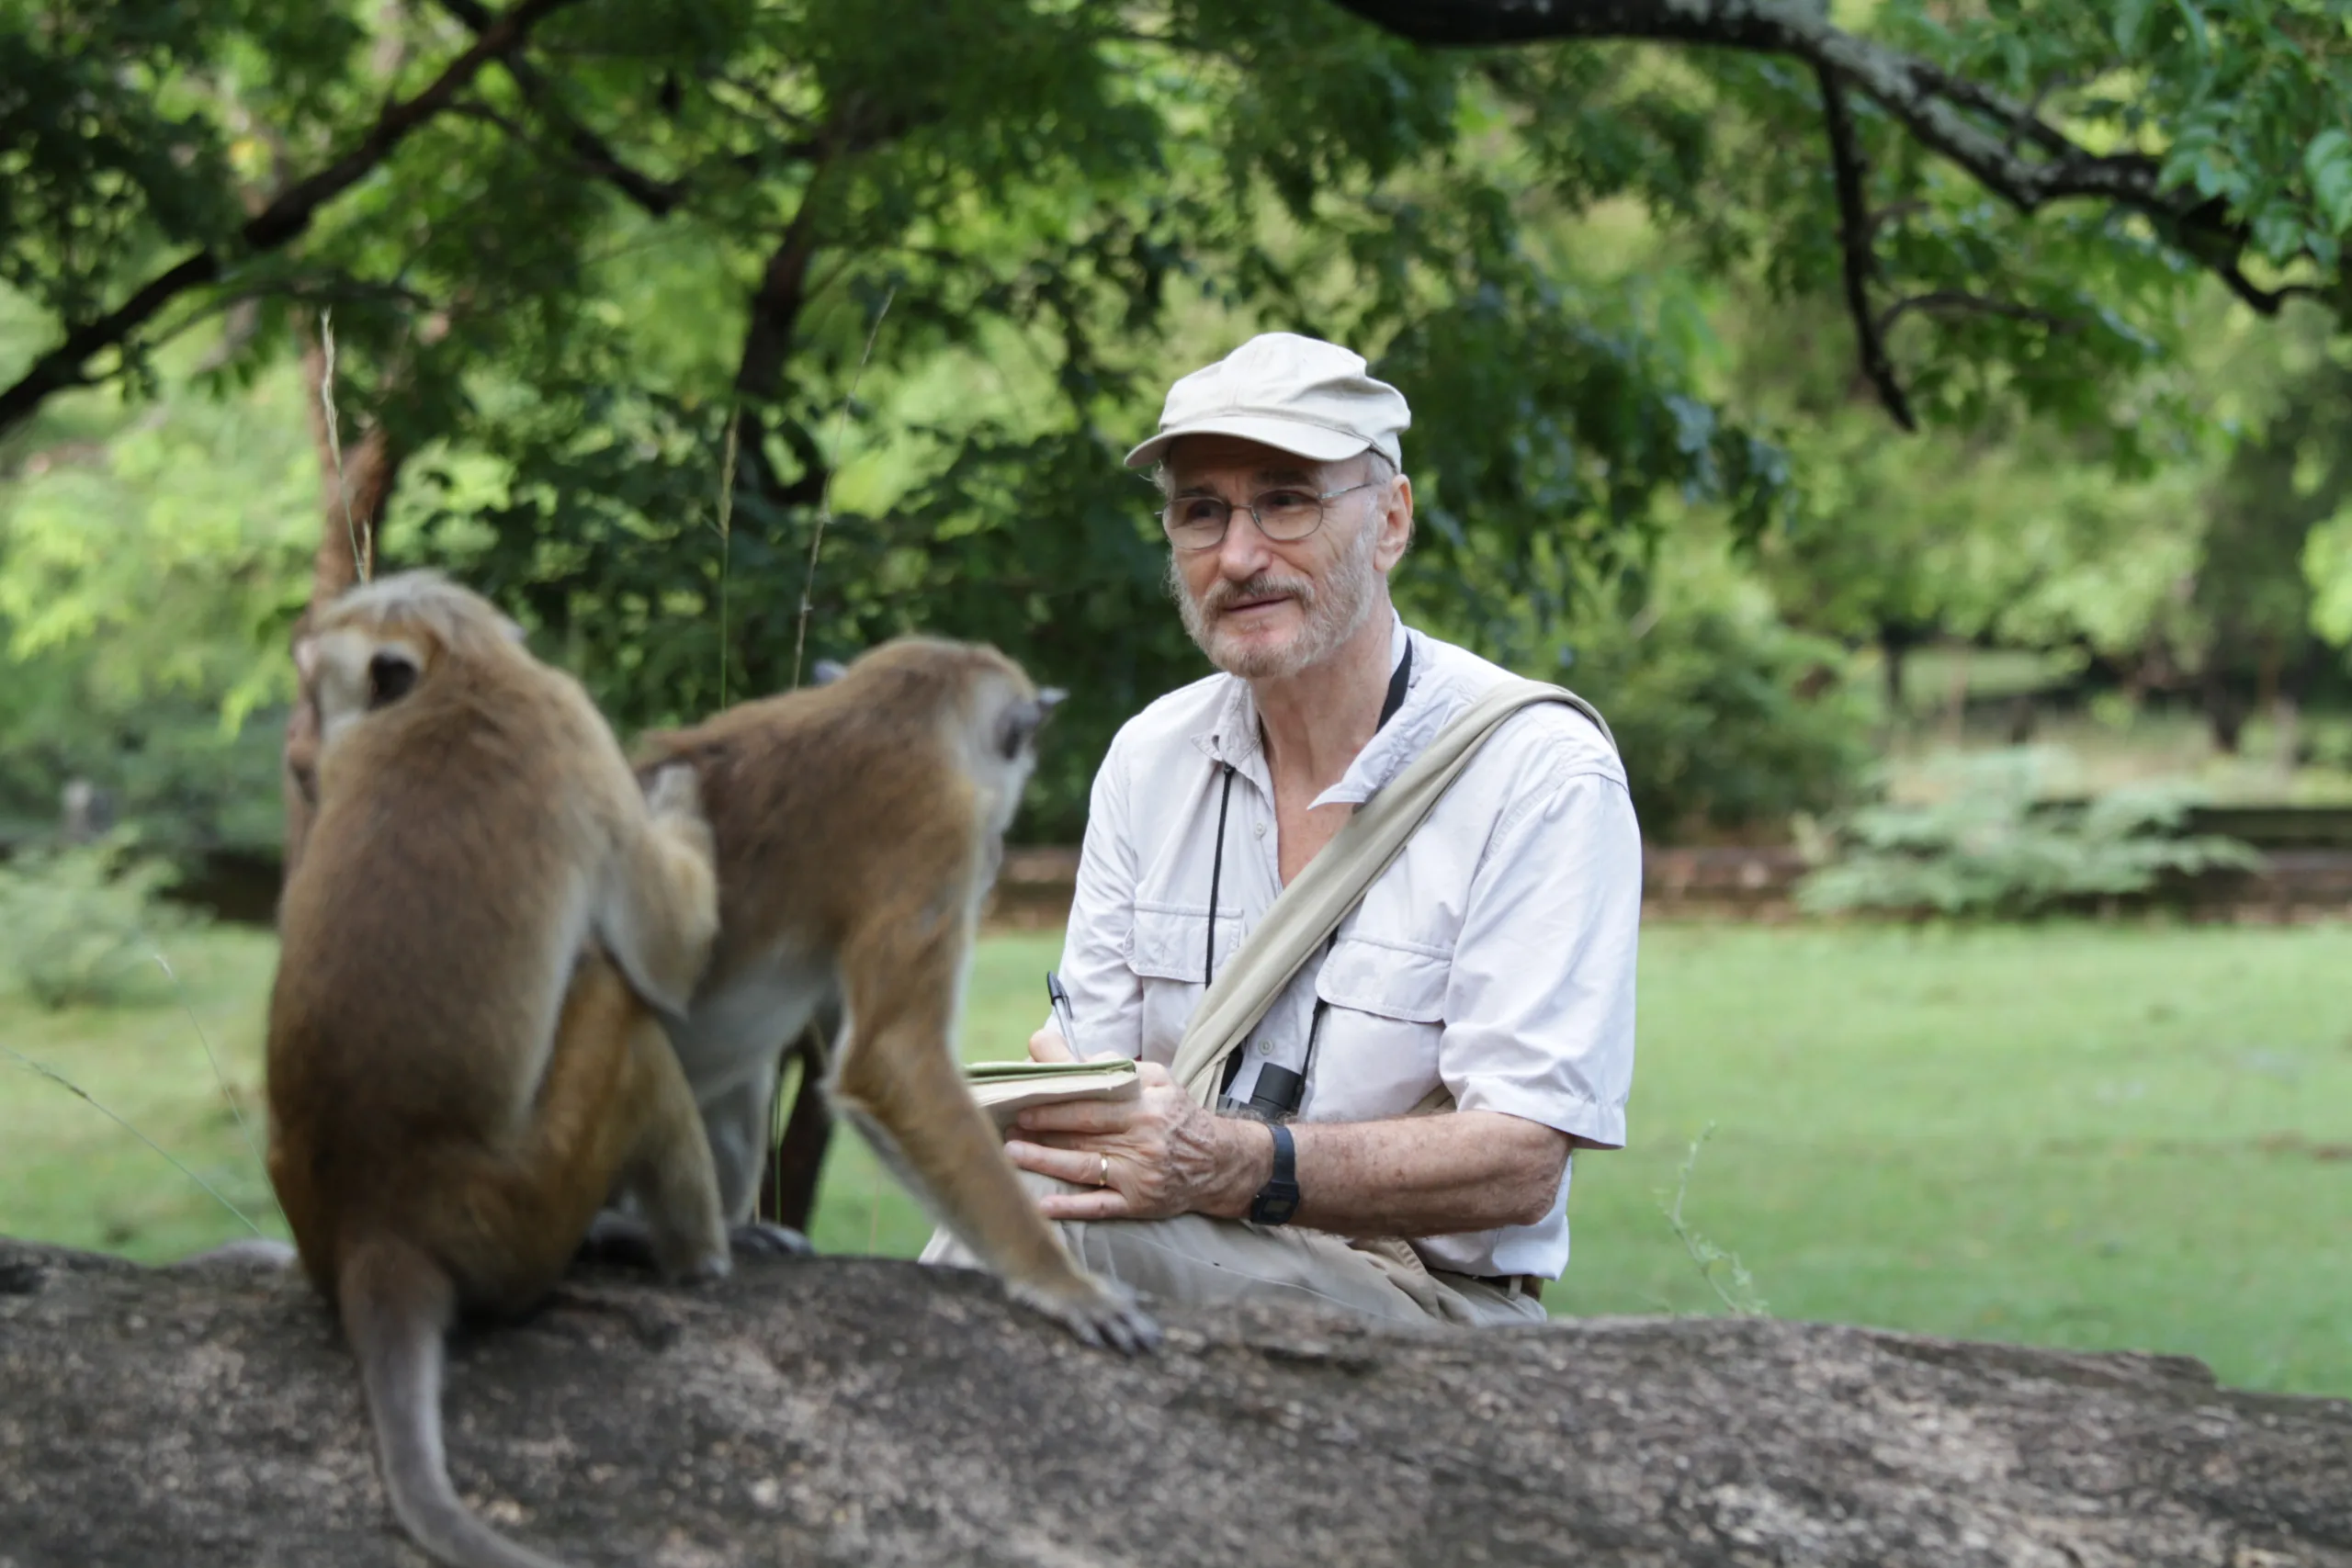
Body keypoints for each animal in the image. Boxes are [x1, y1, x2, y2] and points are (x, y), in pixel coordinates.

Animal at [265, 573, 733, 1568]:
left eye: (313, 688)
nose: (298, 744)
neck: (459, 676)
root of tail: (375, 1225)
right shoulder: (570, 718)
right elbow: (670, 957)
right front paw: (679, 793)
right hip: (520, 1211)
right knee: (624, 1008)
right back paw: (700, 1261)